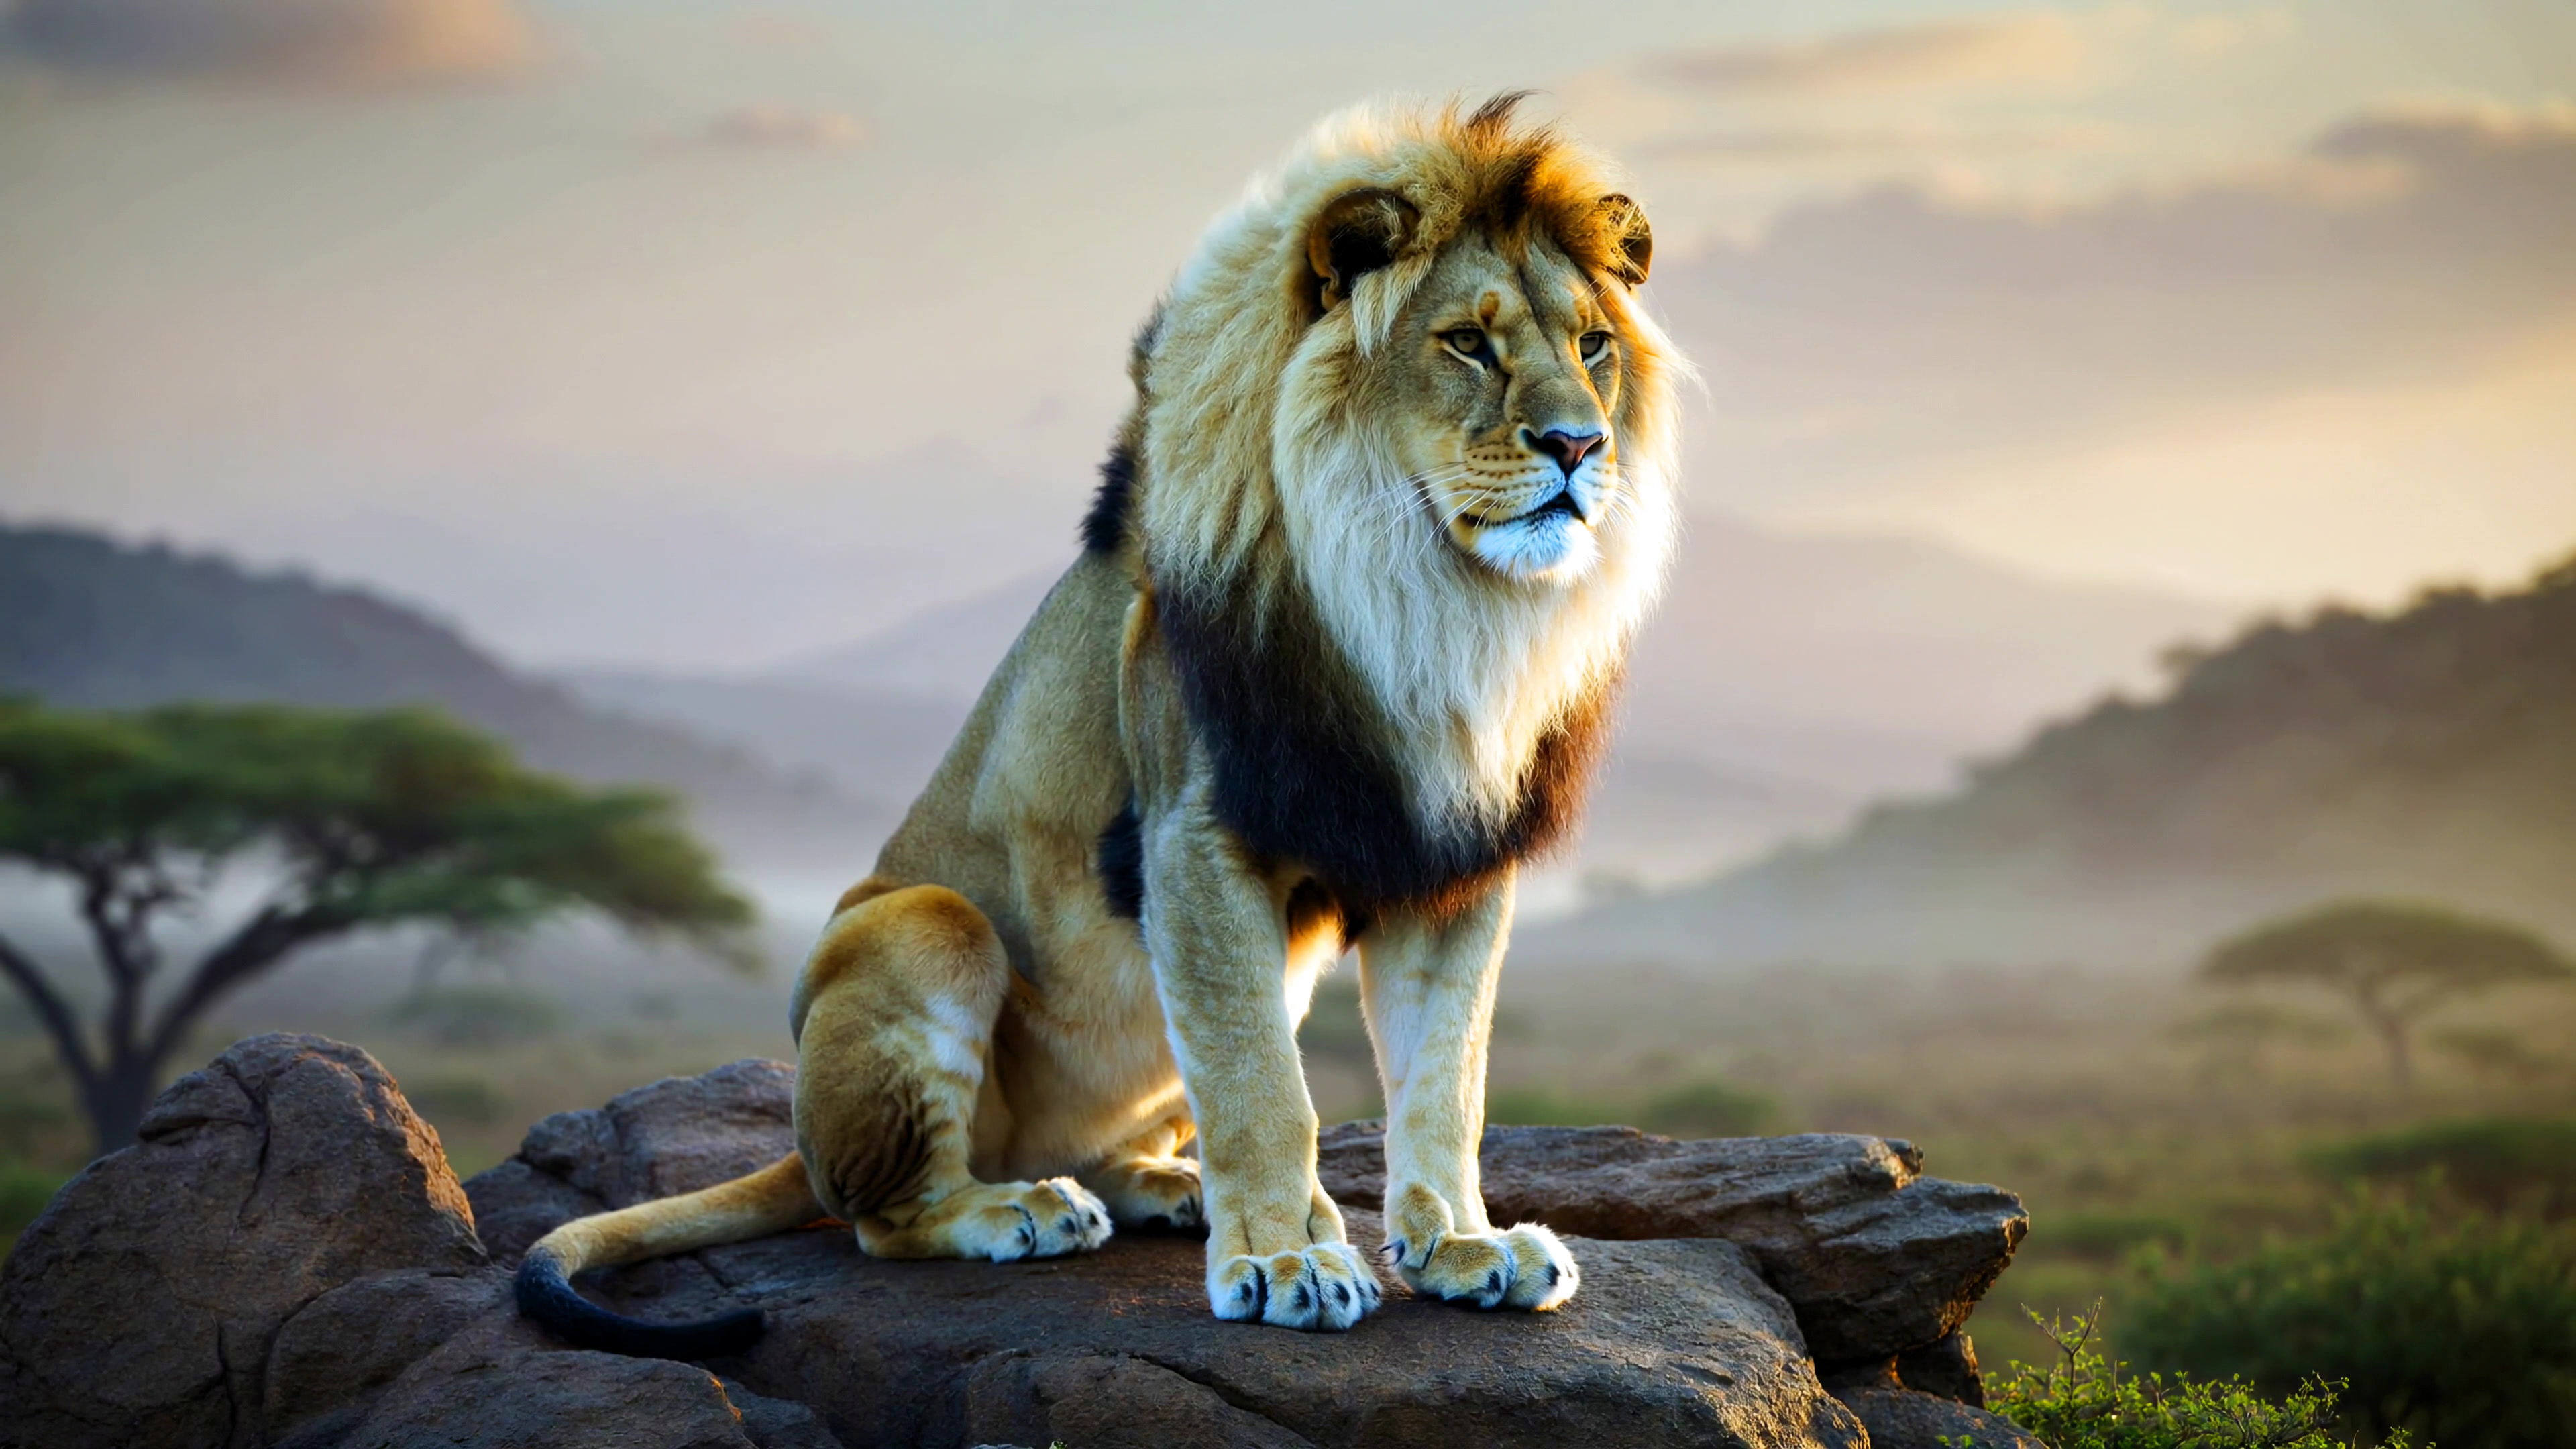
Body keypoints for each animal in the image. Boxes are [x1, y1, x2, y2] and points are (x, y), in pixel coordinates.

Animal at [514, 92, 1682, 1354]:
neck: (1427, 599)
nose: (1579, 447)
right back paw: (1022, 1209)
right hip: (923, 928)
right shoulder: (1194, 837)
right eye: (1468, 341)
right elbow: (1264, 1088)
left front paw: (1462, 1244)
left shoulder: (1450, 853)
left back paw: (1164, 1186)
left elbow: (1446, 1078)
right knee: (881, 1214)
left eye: (1593, 347)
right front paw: (1283, 1262)